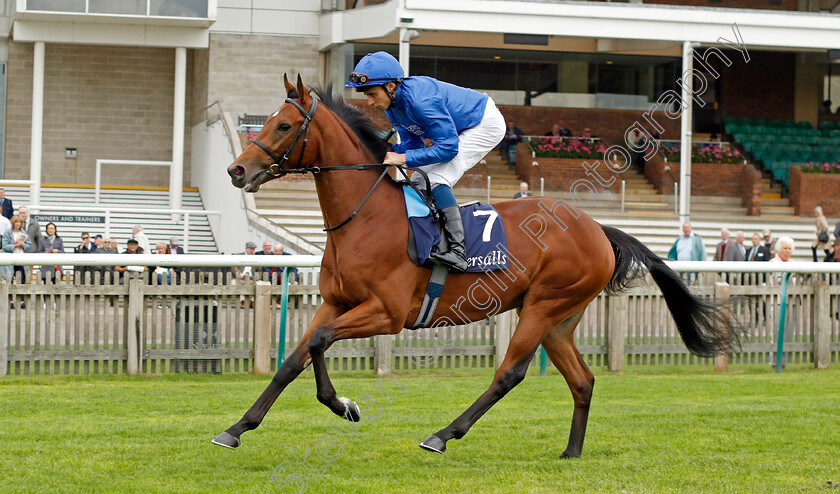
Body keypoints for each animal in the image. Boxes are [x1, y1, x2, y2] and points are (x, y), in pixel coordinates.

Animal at [217, 75, 736, 458]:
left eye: (284, 126)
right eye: (265, 122)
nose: (236, 171)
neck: (365, 217)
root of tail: (597, 229)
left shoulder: (386, 312)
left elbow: (320, 342)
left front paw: (344, 405)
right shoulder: (336, 302)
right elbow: (294, 359)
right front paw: (238, 427)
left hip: (543, 306)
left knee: (509, 373)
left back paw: (442, 435)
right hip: (559, 318)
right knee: (583, 381)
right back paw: (571, 452)